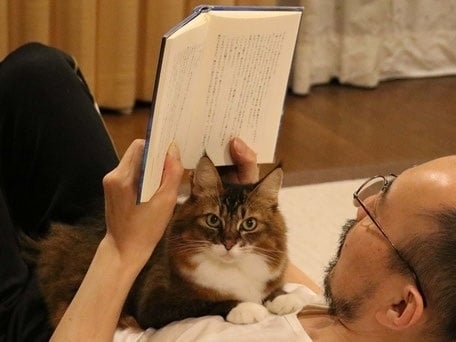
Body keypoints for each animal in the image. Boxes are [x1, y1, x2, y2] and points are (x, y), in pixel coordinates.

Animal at [23, 156, 304, 330]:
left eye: (249, 224)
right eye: (213, 220)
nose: (228, 243)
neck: (231, 268)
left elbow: (271, 290)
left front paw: (283, 298)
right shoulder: (156, 302)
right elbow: (207, 303)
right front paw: (246, 308)